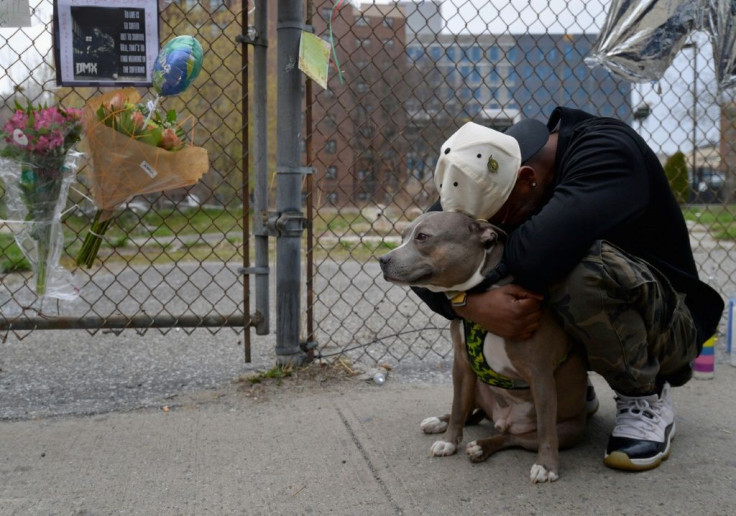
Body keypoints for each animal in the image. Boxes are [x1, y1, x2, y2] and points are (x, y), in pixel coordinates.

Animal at [376, 211, 588, 484]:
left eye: (422, 237)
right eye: (403, 236)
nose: (382, 259)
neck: (482, 289)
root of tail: (503, 419)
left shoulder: (540, 375)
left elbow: (546, 428)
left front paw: (547, 466)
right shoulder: (462, 365)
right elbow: (457, 408)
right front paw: (448, 442)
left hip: (569, 430)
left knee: (514, 437)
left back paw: (481, 446)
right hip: (477, 386)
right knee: (469, 412)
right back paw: (439, 422)